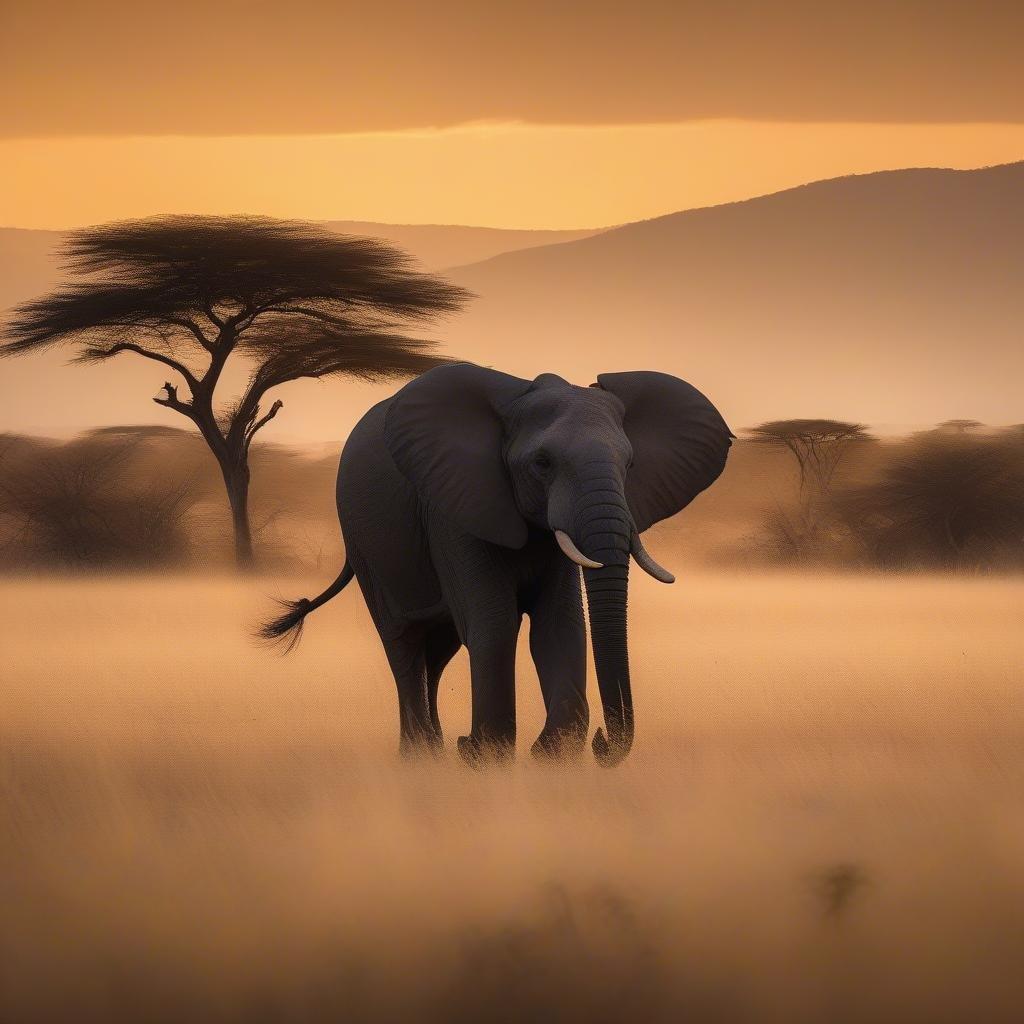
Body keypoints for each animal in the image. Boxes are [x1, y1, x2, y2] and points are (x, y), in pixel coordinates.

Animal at [260, 364, 733, 765]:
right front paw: (486, 757)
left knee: (440, 647)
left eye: (631, 464)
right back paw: (422, 757)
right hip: (365, 543)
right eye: (542, 463)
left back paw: (439, 749)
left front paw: (549, 756)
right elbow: (494, 622)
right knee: (403, 642)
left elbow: (559, 625)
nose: (602, 742)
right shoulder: (454, 506)